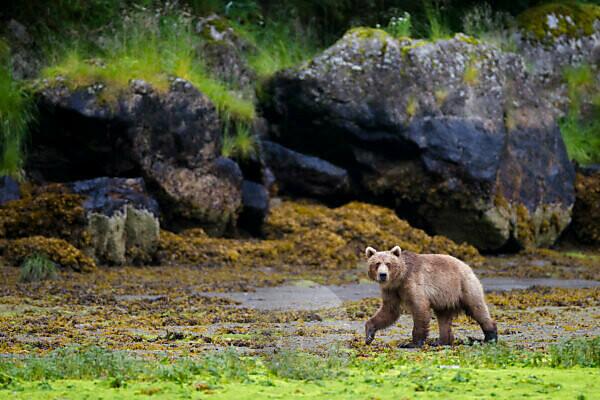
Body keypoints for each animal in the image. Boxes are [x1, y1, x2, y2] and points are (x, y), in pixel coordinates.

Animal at [366, 245, 496, 346]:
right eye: (377, 263)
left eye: (388, 263)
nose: (383, 275)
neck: (400, 278)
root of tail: (468, 267)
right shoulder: (392, 290)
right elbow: (389, 311)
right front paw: (369, 335)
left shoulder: (414, 283)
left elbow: (420, 308)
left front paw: (411, 343)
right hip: (445, 298)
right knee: (443, 319)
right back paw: (441, 341)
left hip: (463, 286)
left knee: (477, 307)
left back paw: (491, 337)